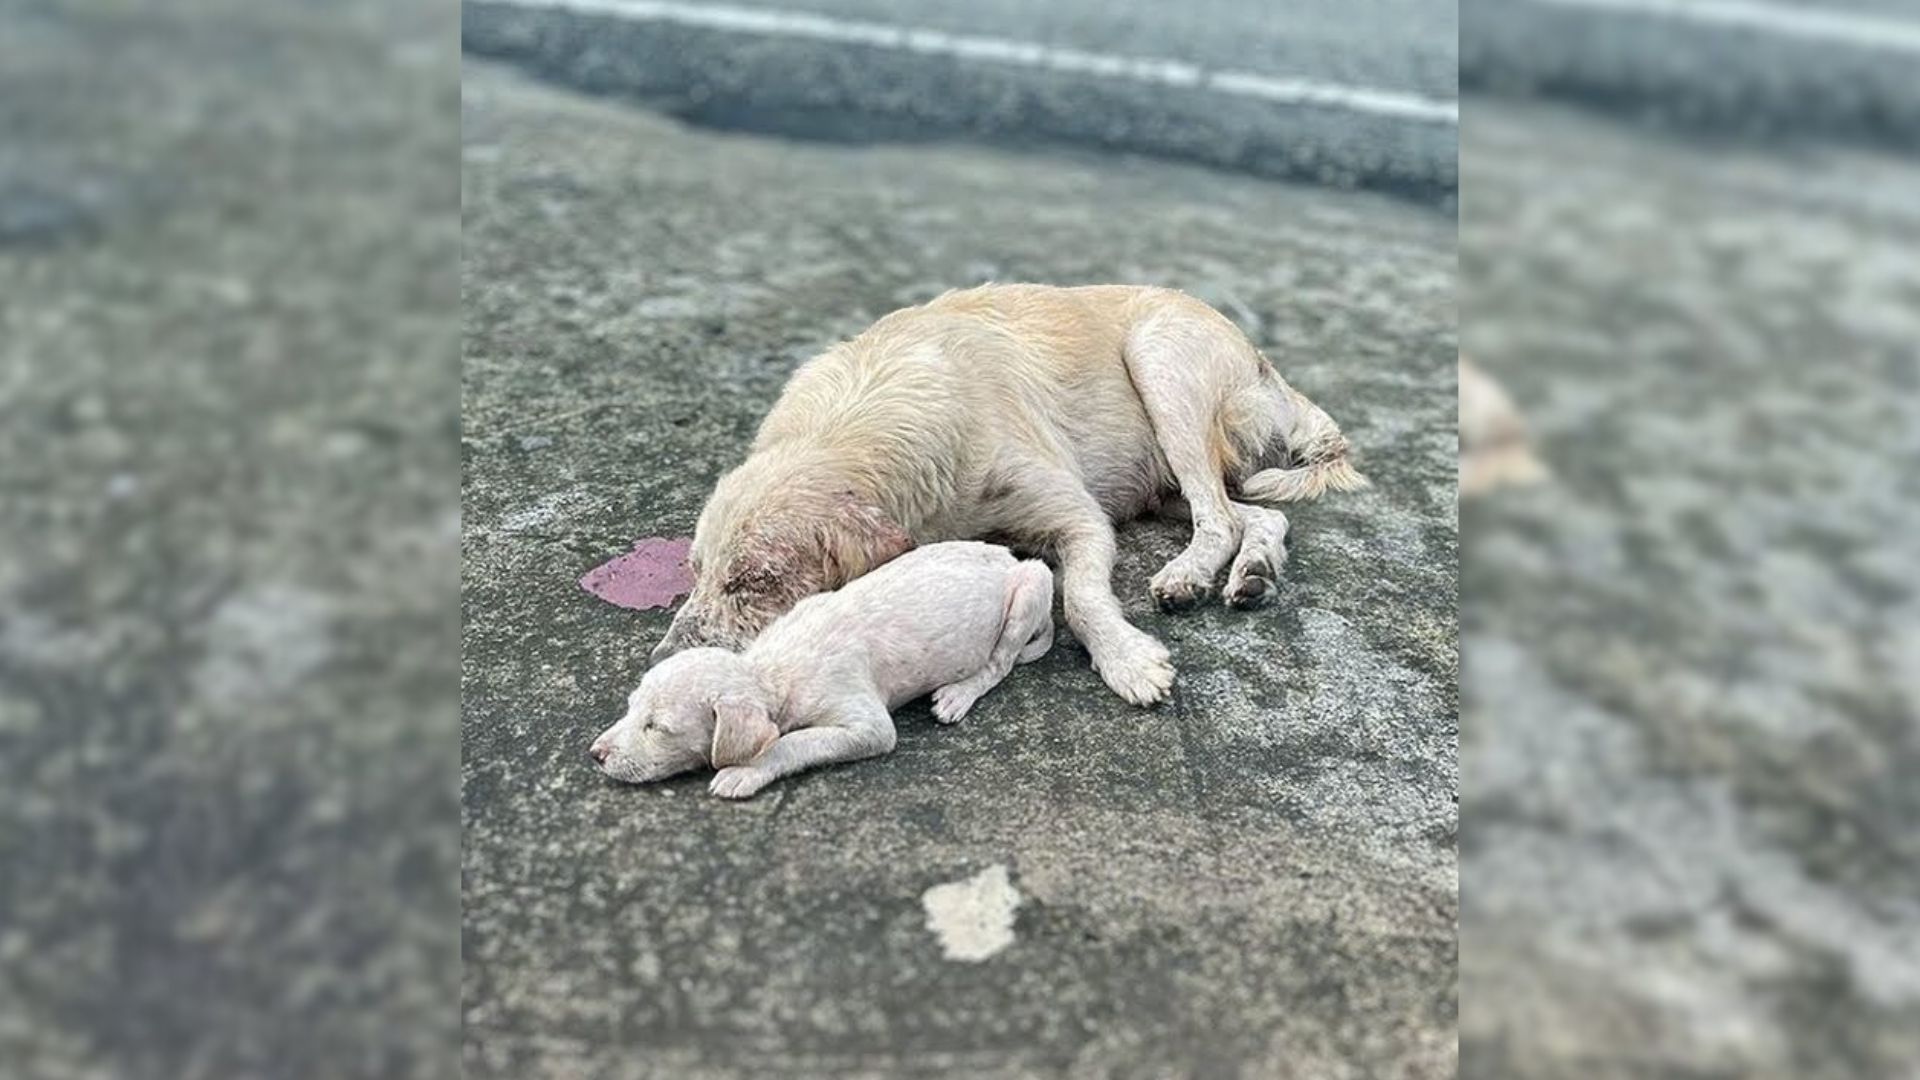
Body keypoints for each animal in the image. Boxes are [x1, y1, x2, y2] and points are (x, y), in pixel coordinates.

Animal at [591, 541, 1059, 795]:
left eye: (658, 728)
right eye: (631, 709)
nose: (595, 755)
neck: (770, 670)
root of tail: (1013, 560)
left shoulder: (868, 725)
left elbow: (792, 742)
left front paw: (744, 772)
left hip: (1033, 586)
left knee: (999, 663)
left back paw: (958, 694)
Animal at [656, 282, 1367, 703]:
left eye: (754, 580)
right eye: (695, 572)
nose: (662, 659)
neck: (859, 419)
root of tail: (1271, 371)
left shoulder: (1079, 516)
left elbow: (1081, 600)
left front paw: (1129, 662)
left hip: (1162, 361)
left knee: (1217, 516)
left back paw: (1190, 574)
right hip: (1162, 480)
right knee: (1255, 517)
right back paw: (1252, 572)